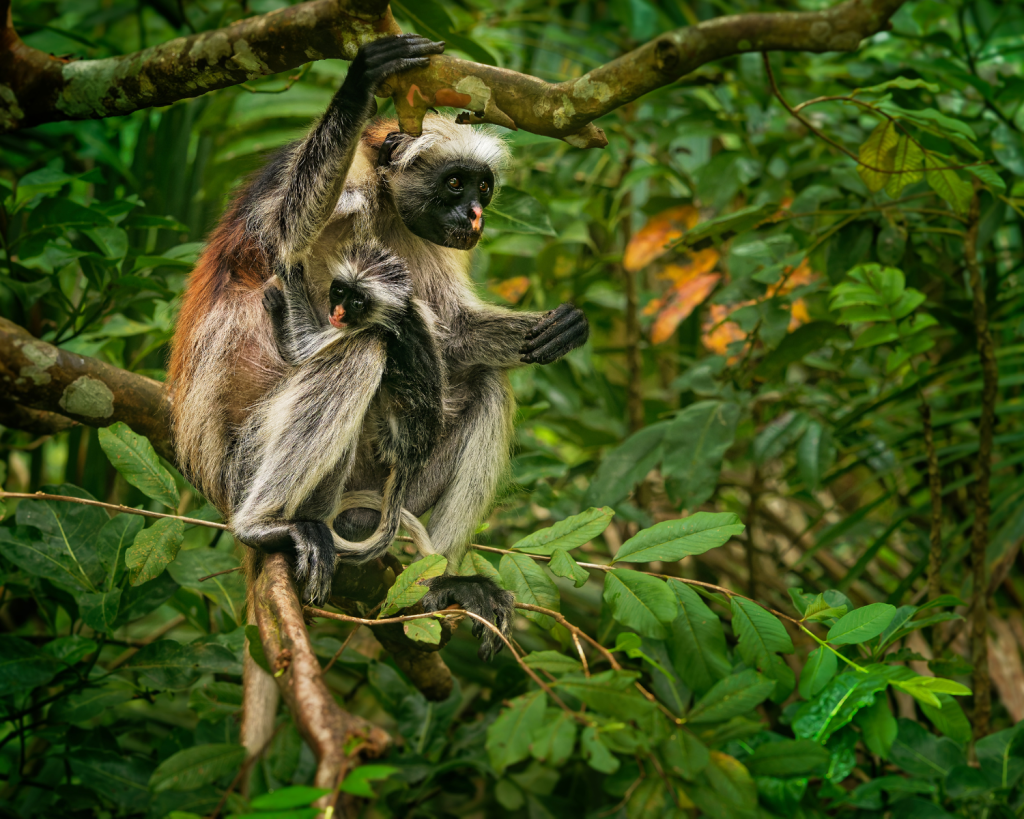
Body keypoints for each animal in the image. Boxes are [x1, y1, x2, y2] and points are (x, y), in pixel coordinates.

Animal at [167, 34, 590, 752]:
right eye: (455, 183)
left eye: (482, 186)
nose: (473, 214)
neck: (388, 207)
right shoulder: (346, 191)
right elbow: (287, 240)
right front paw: (361, 79)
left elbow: (447, 338)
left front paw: (551, 331)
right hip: (246, 454)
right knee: (361, 352)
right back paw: (263, 523)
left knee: (484, 384)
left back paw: (436, 585)